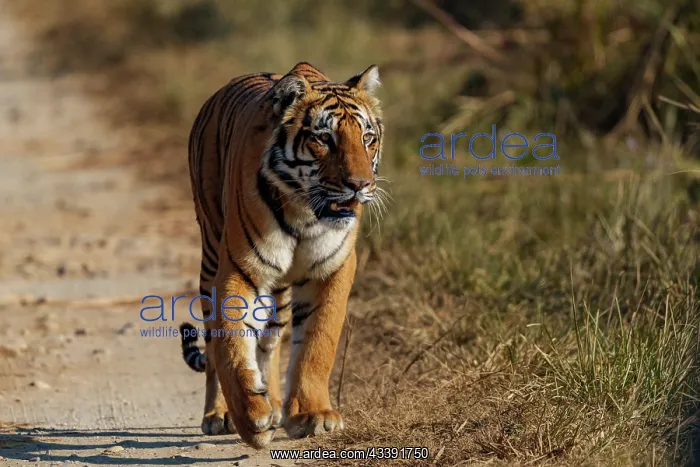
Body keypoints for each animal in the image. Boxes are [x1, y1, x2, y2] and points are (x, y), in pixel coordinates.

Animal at [177, 62, 384, 449]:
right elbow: (230, 345)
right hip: (210, 252)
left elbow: (318, 342)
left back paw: (273, 402)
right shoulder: (238, 268)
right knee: (213, 342)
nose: (360, 185)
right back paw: (220, 414)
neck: (305, 214)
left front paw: (312, 414)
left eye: (367, 138)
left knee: (269, 341)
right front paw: (249, 419)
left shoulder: (333, 269)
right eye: (323, 139)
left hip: (277, 292)